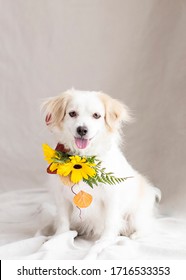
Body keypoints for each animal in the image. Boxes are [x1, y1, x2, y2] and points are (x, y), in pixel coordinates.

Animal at [41, 89, 161, 243]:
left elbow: (110, 221)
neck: (83, 158)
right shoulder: (62, 197)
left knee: (147, 227)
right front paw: (58, 238)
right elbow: (62, 220)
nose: (82, 129)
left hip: (136, 215)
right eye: (72, 113)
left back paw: (135, 234)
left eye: (96, 116)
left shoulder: (112, 197)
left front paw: (106, 240)